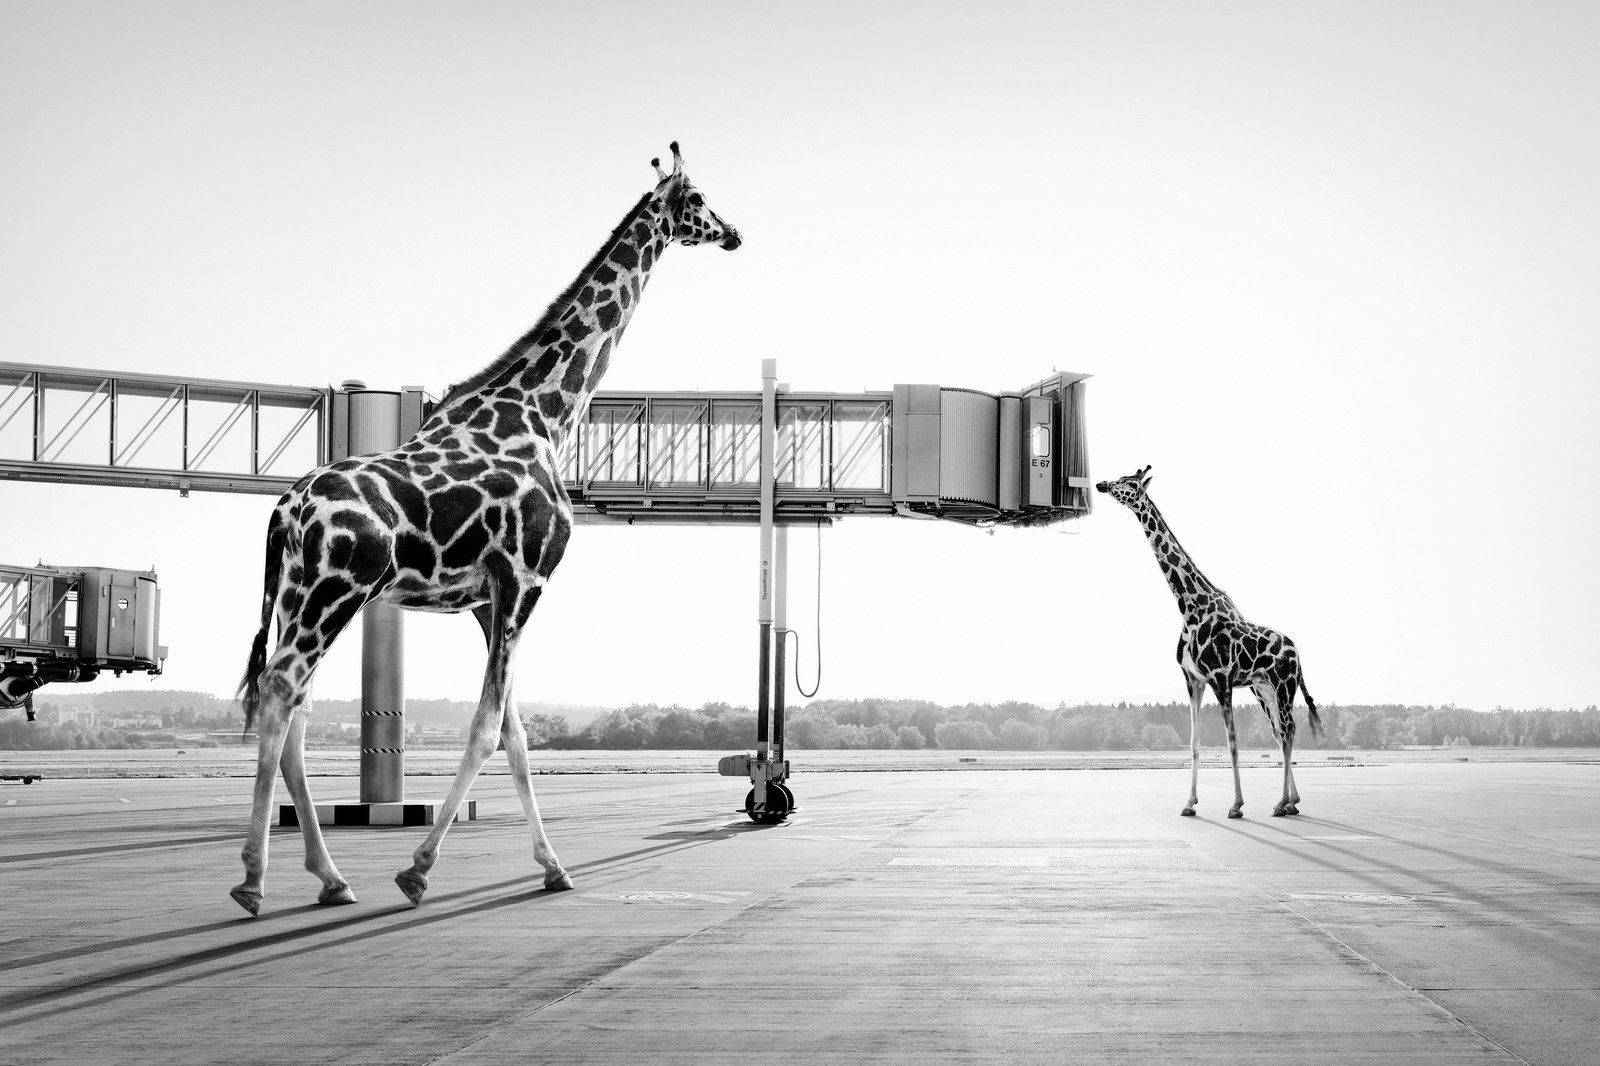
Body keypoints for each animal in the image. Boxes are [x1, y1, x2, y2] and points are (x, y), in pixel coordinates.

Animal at [231, 143, 741, 915]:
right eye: (701, 197)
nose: (736, 232)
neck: (546, 414)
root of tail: (283, 510)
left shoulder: (485, 597)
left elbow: (519, 734)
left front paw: (552, 866)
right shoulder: (527, 579)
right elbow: (488, 725)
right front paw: (417, 869)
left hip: (294, 597)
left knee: (291, 706)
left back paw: (331, 877)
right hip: (332, 593)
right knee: (283, 692)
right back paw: (254, 880)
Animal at [1096, 466, 1321, 819]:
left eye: (1130, 483)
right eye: (1119, 478)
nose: (1101, 484)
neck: (1188, 606)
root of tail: (1297, 652)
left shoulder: (1220, 678)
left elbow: (1232, 741)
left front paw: (1237, 805)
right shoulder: (1193, 679)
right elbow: (1194, 742)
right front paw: (1189, 803)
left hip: (1284, 686)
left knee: (1288, 729)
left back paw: (1282, 803)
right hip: (1263, 689)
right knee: (1280, 732)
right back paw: (1290, 802)